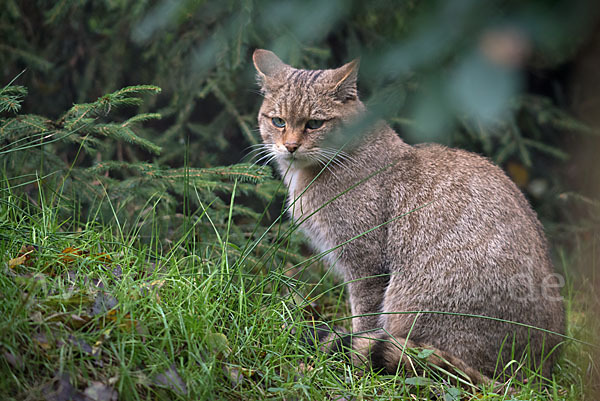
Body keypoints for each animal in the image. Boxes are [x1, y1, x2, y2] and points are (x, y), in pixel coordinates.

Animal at [251, 49, 564, 384]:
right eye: (278, 121)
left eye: (314, 123)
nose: (290, 146)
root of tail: (536, 374)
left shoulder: (365, 264)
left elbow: (364, 319)